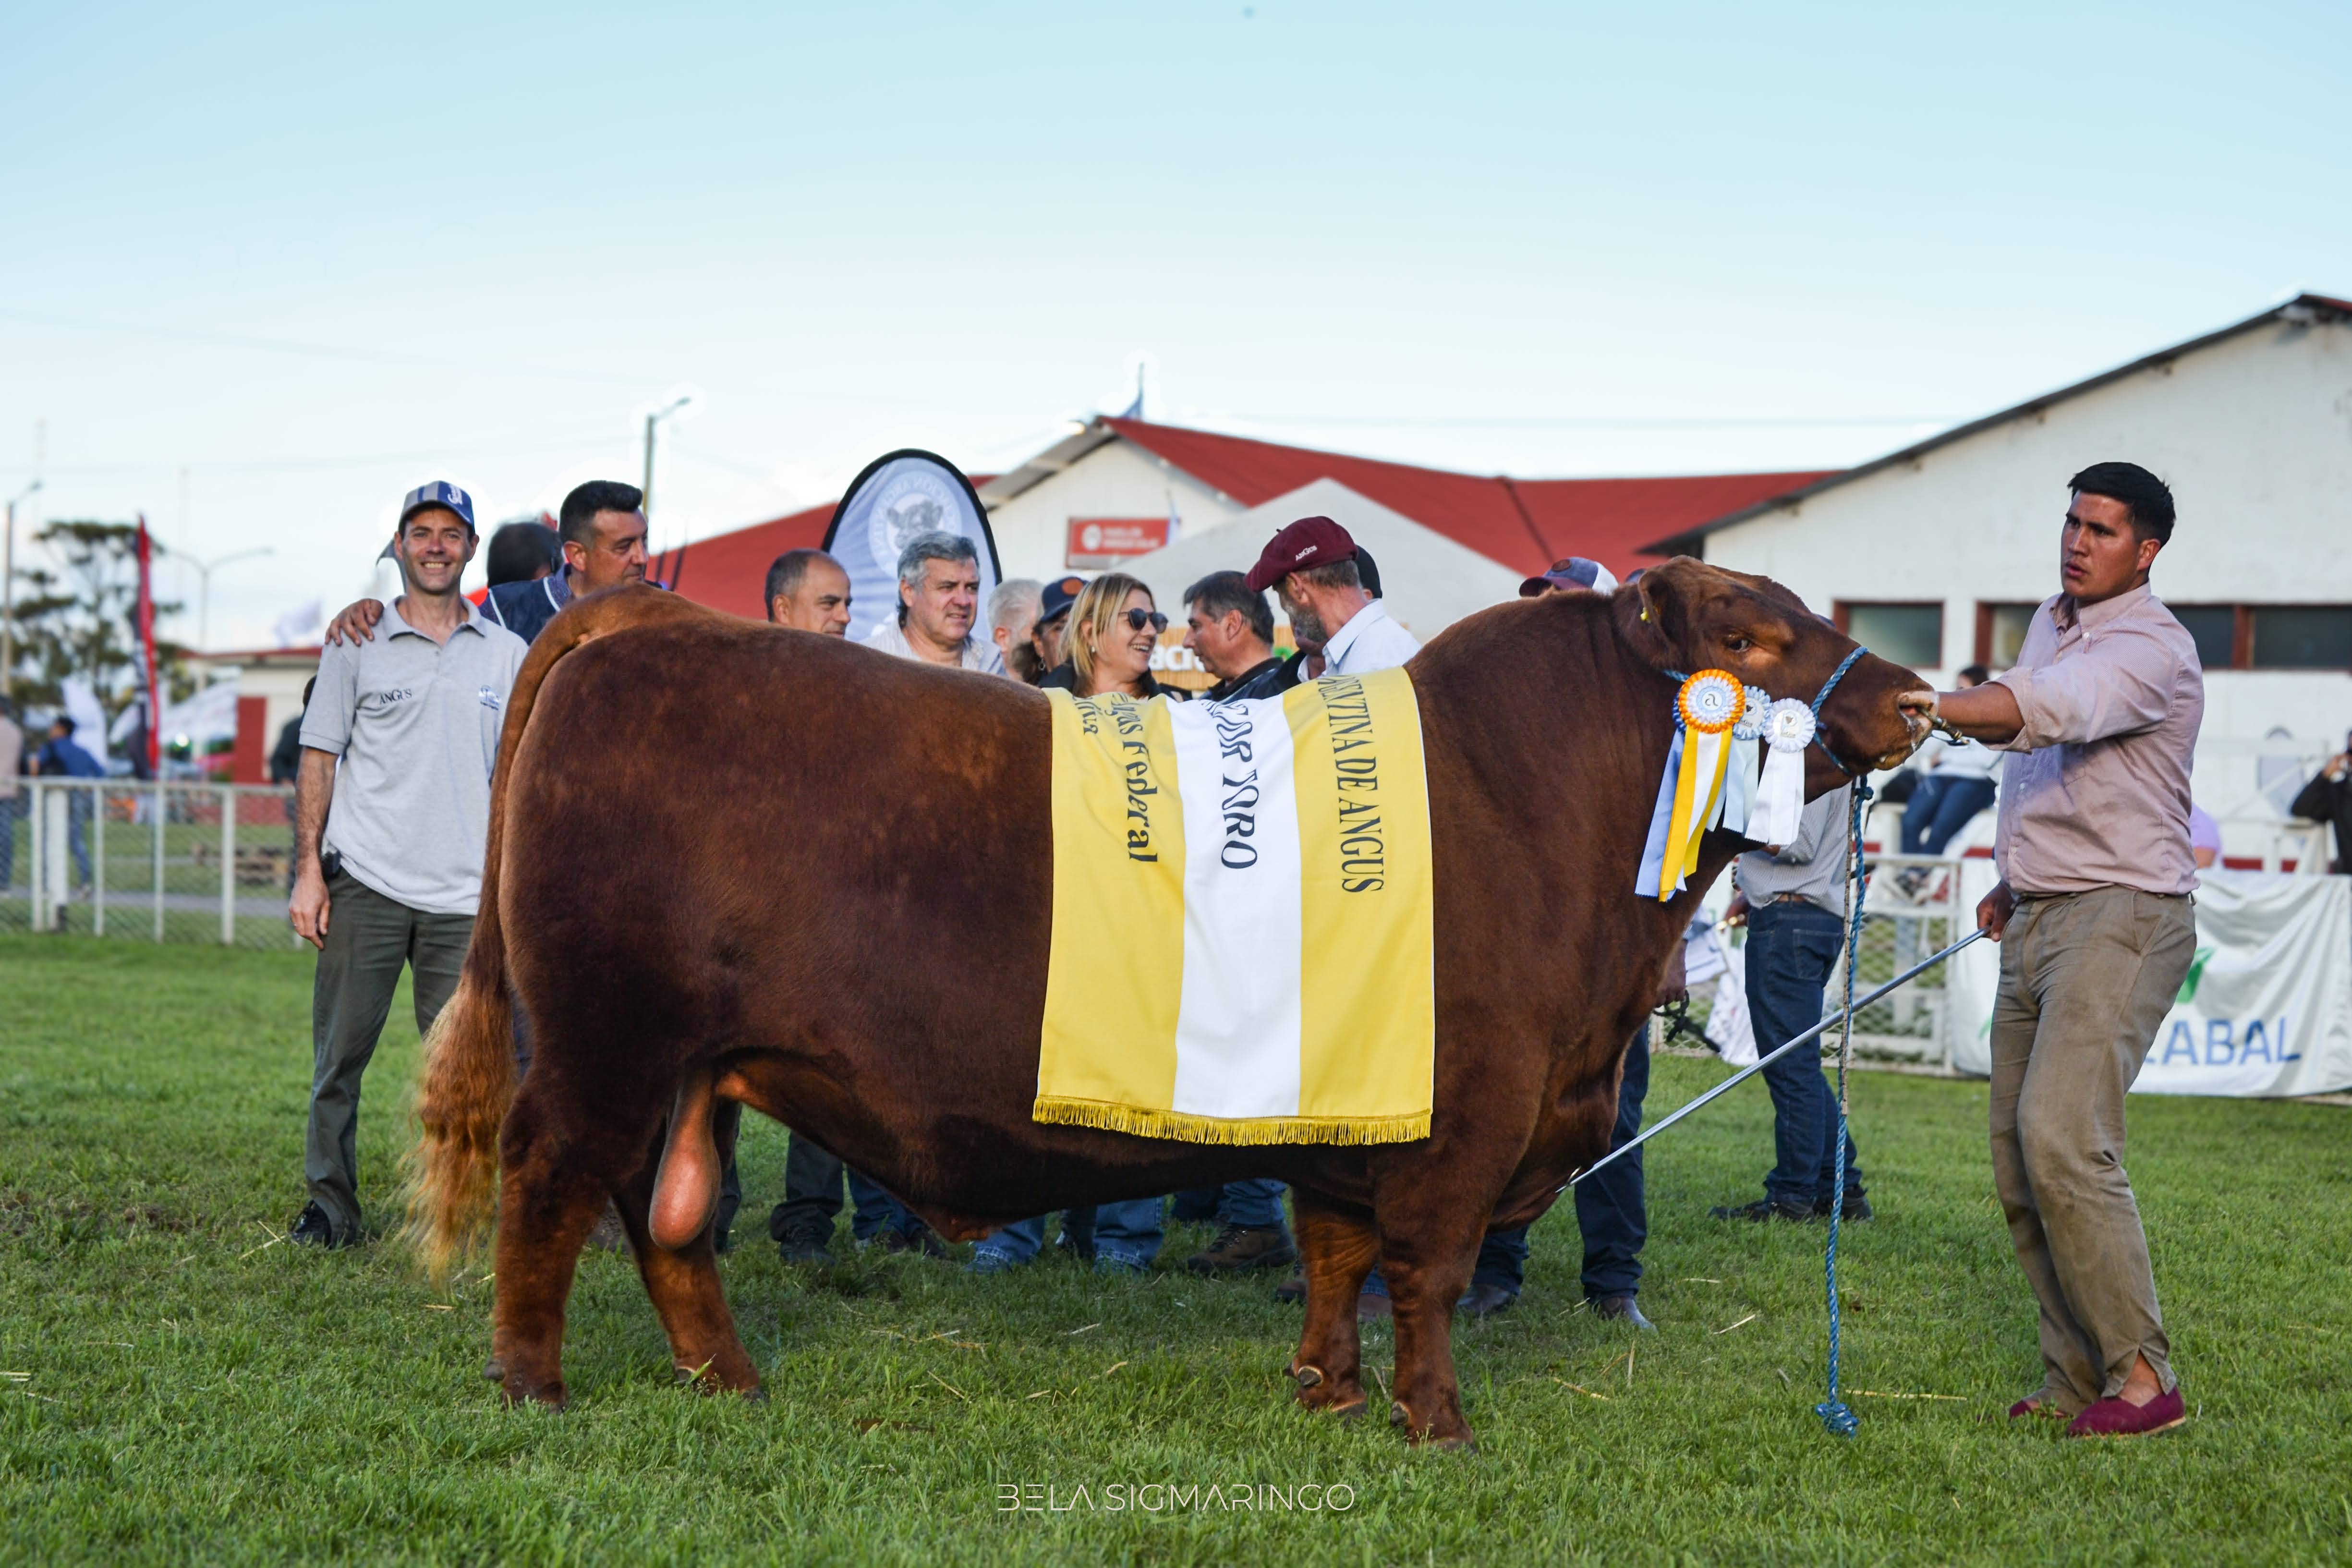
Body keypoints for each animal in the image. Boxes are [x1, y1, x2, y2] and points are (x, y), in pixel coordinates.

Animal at [403, 558, 1928, 1449]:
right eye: (1749, 637)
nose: (1916, 699)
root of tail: (654, 617)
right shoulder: (1469, 1114)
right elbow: (1426, 1271)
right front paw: (1433, 1422)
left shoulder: (1350, 1105)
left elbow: (1334, 1251)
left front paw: (1326, 1390)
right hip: (603, 1039)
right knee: (552, 1181)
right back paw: (532, 1387)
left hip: (691, 1067)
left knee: (668, 1217)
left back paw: (726, 1378)